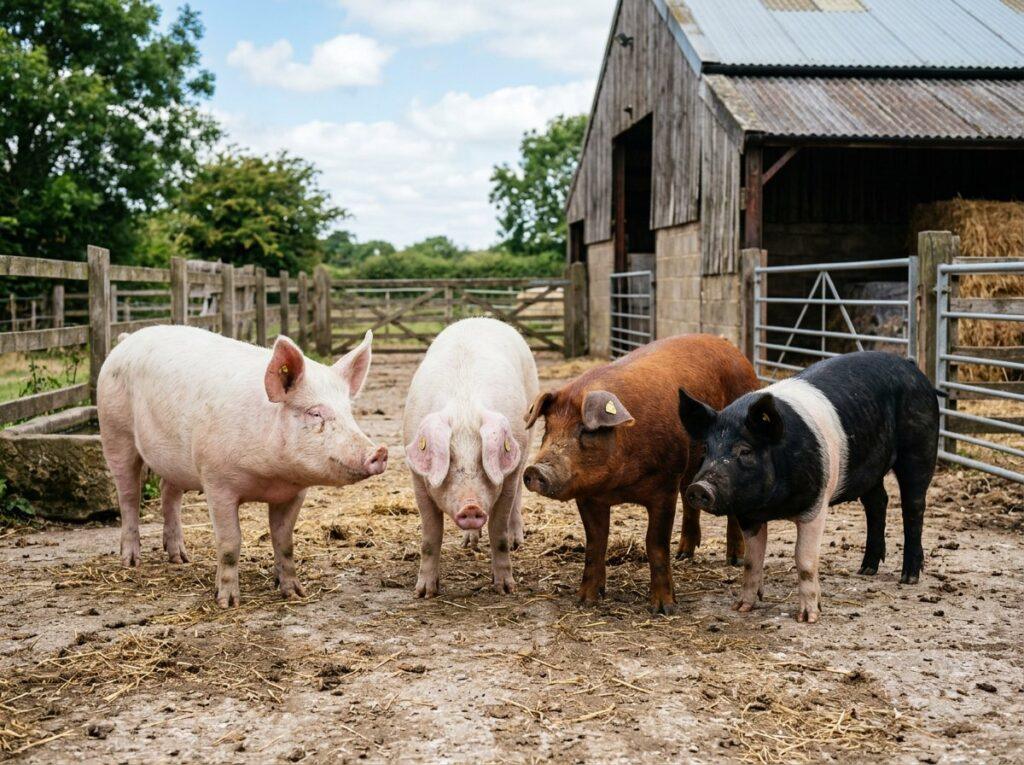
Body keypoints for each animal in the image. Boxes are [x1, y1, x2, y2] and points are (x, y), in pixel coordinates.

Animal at [97, 325, 388, 607]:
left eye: (349, 412)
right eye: (314, 413)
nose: (380, 452)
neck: (270, 478)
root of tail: (127, 339)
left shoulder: (294, 492)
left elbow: (284, 541)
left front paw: (295, 594)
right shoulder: (216, 481)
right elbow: (229, 543)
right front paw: (227, 602)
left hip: (175, 460)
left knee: (168, 492)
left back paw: (181, 558)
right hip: (114, 431)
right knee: (129, 495)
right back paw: (131, 561)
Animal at [403, 318, 539, 598]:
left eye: (482, 459)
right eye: (450, 460)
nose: (471, 508)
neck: (463, 409)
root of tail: (480, 317)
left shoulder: (506, 479)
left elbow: (498, 533)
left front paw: (506, 589)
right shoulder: (418, 478)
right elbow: (430, 537)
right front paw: (423, 593)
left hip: (526, 438)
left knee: (519, 491)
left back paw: (517, 541)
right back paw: (469, 543)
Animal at [523, 335, 759, 614]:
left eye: (586, 430)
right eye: (548, 428)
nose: (535, 470)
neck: (618, 486)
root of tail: (731, 348)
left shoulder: (664, 487)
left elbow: (655, 544)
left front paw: (664, 609)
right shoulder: (588, 496)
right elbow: (595, 543)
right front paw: (585, 600)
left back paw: (735, 559)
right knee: (690, 496)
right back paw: (683, 555)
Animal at [678, 351, 939, 624]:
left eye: (745, 451)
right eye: (706, 449)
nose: (699, 487)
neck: (772, 506)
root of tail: (911, 367)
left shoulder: (816, 505)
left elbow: (804, 559)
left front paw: (808, 617)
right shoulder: (748, 514)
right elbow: (752, 561)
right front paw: (741, 607)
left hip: (919, 447)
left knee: (913, 507)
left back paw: (909, 577)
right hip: (871, 467)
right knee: (878, 502)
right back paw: (867, 569)